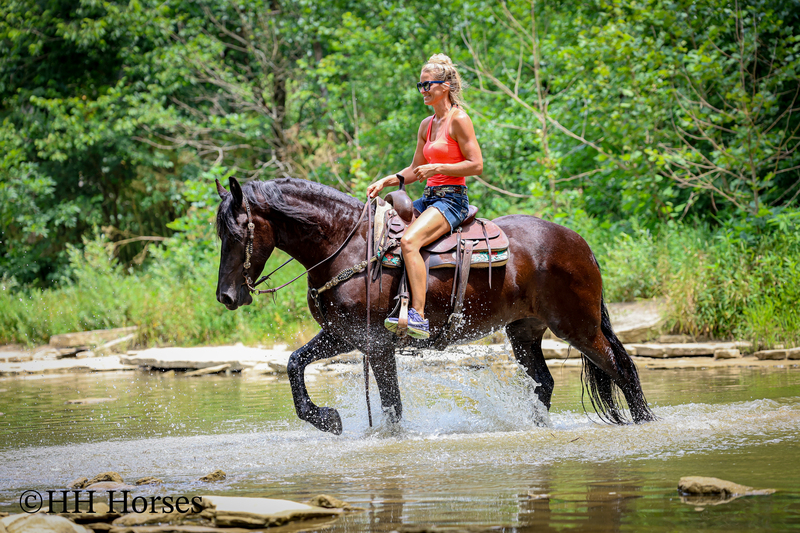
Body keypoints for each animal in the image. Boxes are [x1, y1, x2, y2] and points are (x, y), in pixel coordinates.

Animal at [215, 176, 655, 434]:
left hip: (578, 327)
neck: (348, 245)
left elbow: (392, 405)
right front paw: (326, 418)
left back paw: (646, 422)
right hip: (525, 331)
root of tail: (578, 242)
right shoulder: (343, 336)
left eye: (237, 232)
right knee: (544, 382)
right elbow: (294, 362)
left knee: (622, 369)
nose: (227, 296)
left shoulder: (377, 344)